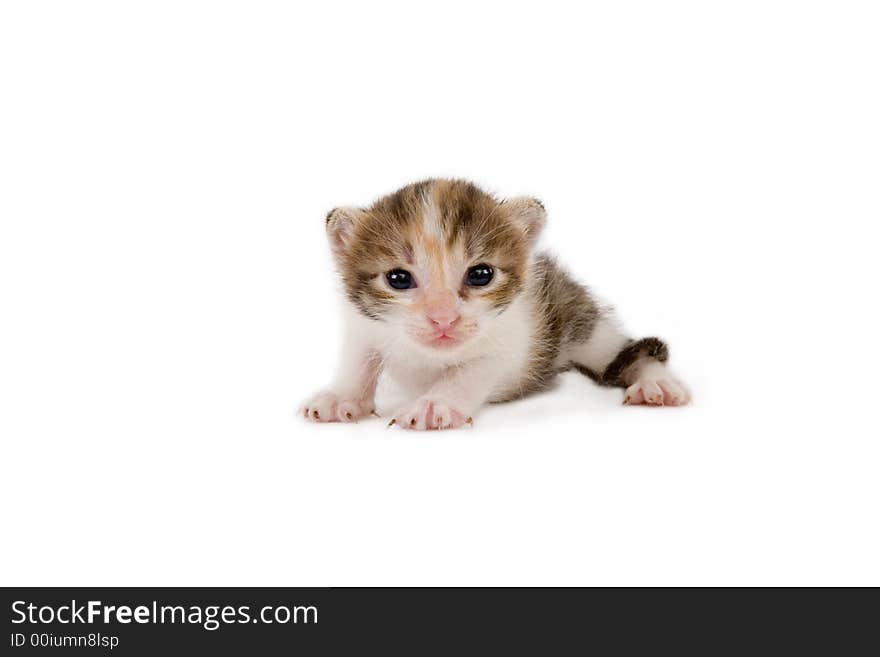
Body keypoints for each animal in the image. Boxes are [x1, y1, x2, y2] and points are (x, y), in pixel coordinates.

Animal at [302, 178, 688, 430]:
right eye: (398, 279)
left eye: (481, 275)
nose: (443, 319)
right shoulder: (363, 324)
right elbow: (359, 361)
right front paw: (342, 397)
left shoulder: (511, 338)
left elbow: (470, 370)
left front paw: (436, 403)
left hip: (581, 320)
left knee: (625, 349)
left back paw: (656, 384)